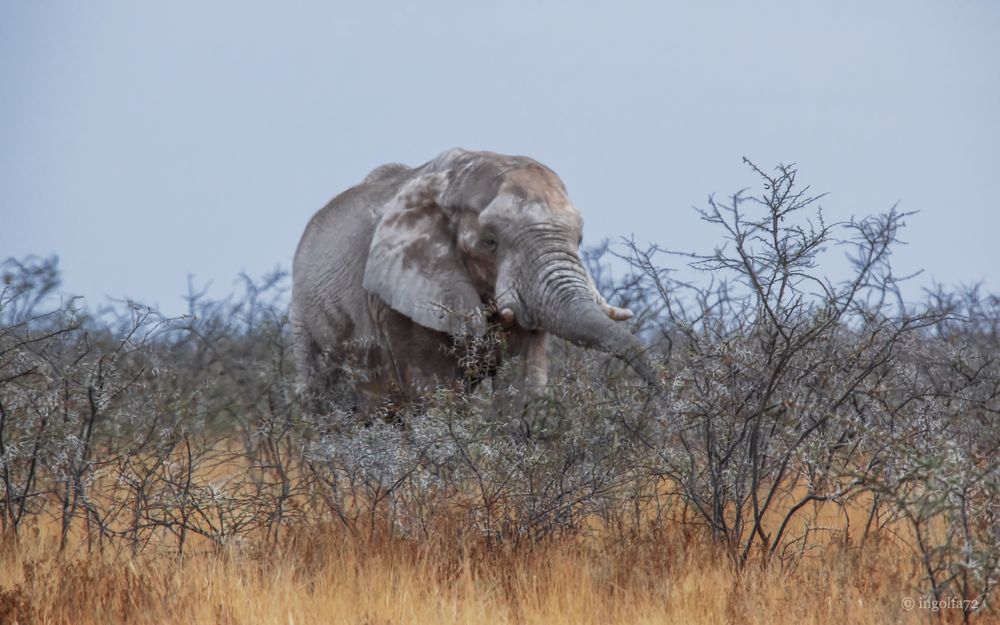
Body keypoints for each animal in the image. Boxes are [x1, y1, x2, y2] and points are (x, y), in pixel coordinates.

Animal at [292, 149, 656, 408]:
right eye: (490, 243)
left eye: (579, 239)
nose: (657, 397)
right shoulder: (398, 299)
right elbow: (437, 396)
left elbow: (521, 390)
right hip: (303, 314)